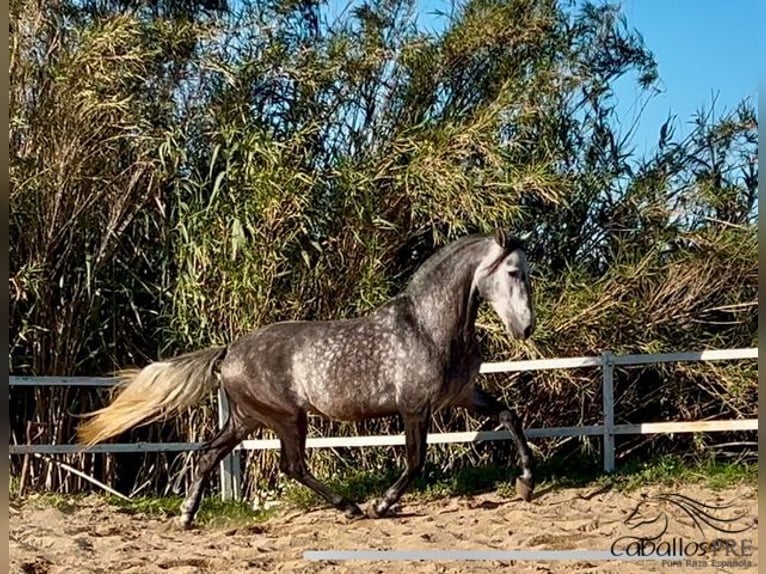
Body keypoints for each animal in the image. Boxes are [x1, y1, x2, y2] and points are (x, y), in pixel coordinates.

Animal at [76, 228, 536, 528]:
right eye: (513, 272)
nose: (526, 328)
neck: (428, 327)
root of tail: (229, 351)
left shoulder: (463, 395)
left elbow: (510, 416)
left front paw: (527, 484)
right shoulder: (414, 408)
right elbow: (415, 461)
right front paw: (382, 506)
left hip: (247, 419)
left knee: (210, 454)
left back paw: (187, 517)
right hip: (286, 417)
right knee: (292, 465)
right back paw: (351, 508)